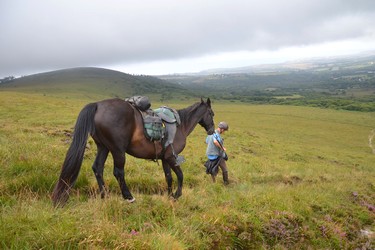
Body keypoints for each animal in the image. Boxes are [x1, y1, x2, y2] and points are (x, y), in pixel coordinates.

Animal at [51, 96, 214, 206]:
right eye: (211, 113)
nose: (212, 130)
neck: (180, 124)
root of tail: (98, 105)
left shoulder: (164, 158)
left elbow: (169, 177)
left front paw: (169, 195)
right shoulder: (171, 157)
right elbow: (180, 175)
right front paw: (177, 195)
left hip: (103, 147)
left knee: (98, 168)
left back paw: (104, 195)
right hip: (117, 150)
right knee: (118, 172)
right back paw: (128, 197)